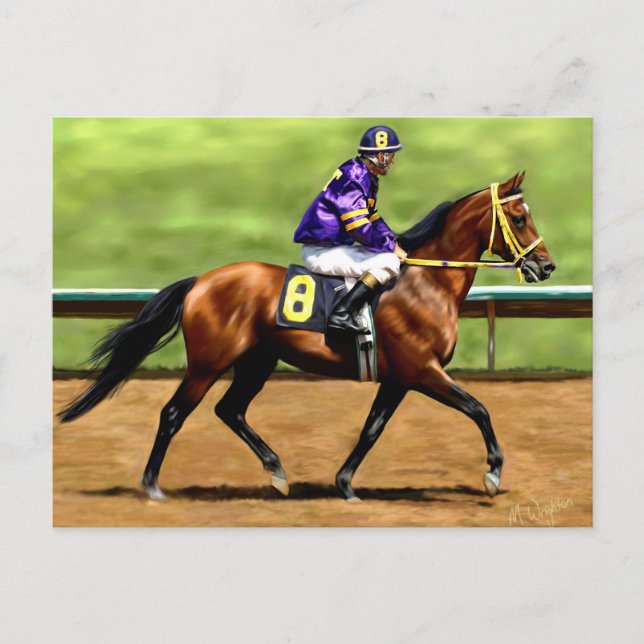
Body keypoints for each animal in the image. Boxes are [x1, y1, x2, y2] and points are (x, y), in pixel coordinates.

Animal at [59, 171, 556, 502]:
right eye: (518, 217)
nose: (546, 266)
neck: (425, 285)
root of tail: (201, 280)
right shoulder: (422, 370)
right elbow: (479, 408)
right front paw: (492, 475)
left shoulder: (399, 379)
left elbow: (372, 429)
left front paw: (346, 485)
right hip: (208, 362)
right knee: (173, 413)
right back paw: (152, 486)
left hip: (257, 361)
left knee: (229, 410)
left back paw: (277, 473)